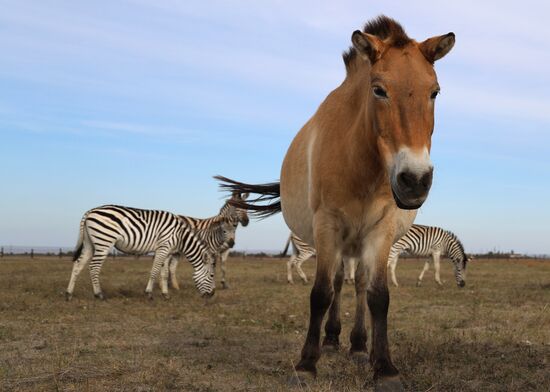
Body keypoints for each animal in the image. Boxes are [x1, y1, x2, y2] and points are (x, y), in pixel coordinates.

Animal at [66, 205, 218, 300]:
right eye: (211, 275)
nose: (212, 295)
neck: (180, 235)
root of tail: (90, 211)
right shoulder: (163, 247)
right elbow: (155, 271)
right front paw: (149, 293)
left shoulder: (168, 252)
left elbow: (164, 273)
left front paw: (165, 295)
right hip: (104, 241)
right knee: (94, 267)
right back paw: (99, 294)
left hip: (89, 243)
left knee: (78, 264)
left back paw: (69, 294)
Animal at [218, 16, 454, 392]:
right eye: (378, 90)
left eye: (434, 92)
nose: (414, 180)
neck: (362, 164)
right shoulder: (327, 226)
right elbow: (320, 293)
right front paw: (306, 364)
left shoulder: (382, 230)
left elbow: (378, 296)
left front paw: (384, 367)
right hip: (339, 241)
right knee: (339, 283)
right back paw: (331, 340)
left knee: (357, 285)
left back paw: (357, 345)